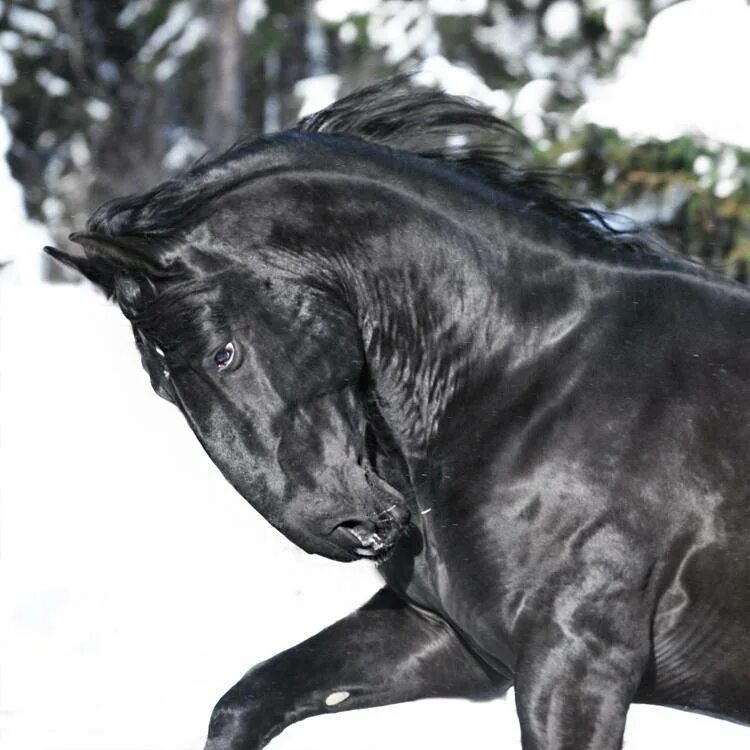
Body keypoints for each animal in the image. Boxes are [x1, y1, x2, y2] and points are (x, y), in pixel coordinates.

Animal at [47, 79, 750, 748]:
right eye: (162, 386)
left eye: (224, 353)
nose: (343, 526)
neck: (533, 380)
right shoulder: (452, 639)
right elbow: (246, 703)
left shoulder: (575, 665)